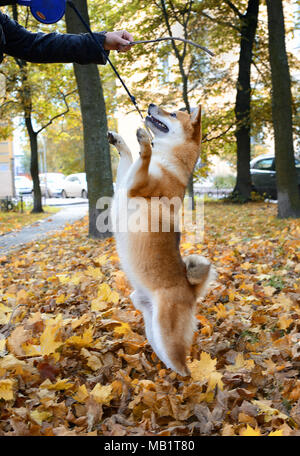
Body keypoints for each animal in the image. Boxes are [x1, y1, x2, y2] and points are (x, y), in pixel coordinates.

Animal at [108, 104, 216, 378]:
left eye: (175, 113)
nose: (150, 106)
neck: (169, 162)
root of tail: (191, 291)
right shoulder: (123, 183)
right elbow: (128, 159)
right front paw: (120, 140)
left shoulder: (135, 184)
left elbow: (143, 158)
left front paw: (144, 141)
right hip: (151, 325)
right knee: (169, 360)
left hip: (166, 333)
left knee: (183, 366)